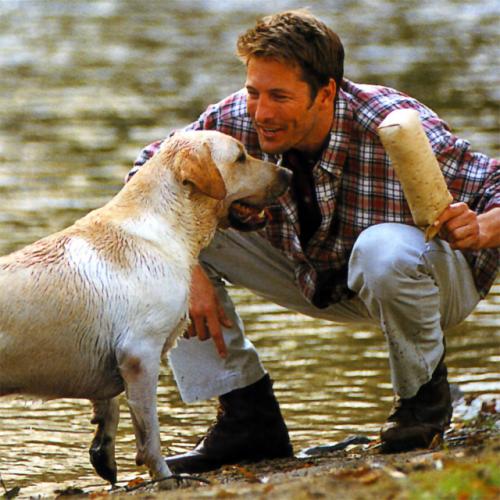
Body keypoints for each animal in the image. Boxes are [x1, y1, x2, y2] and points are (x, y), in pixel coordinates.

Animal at [0, 131, 292, 490]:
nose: (289, 174)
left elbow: (109, 407)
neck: (167, 222)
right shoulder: (141, 354)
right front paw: (165, 478)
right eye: (240, 157)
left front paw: (104, 452)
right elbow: (149, 434)